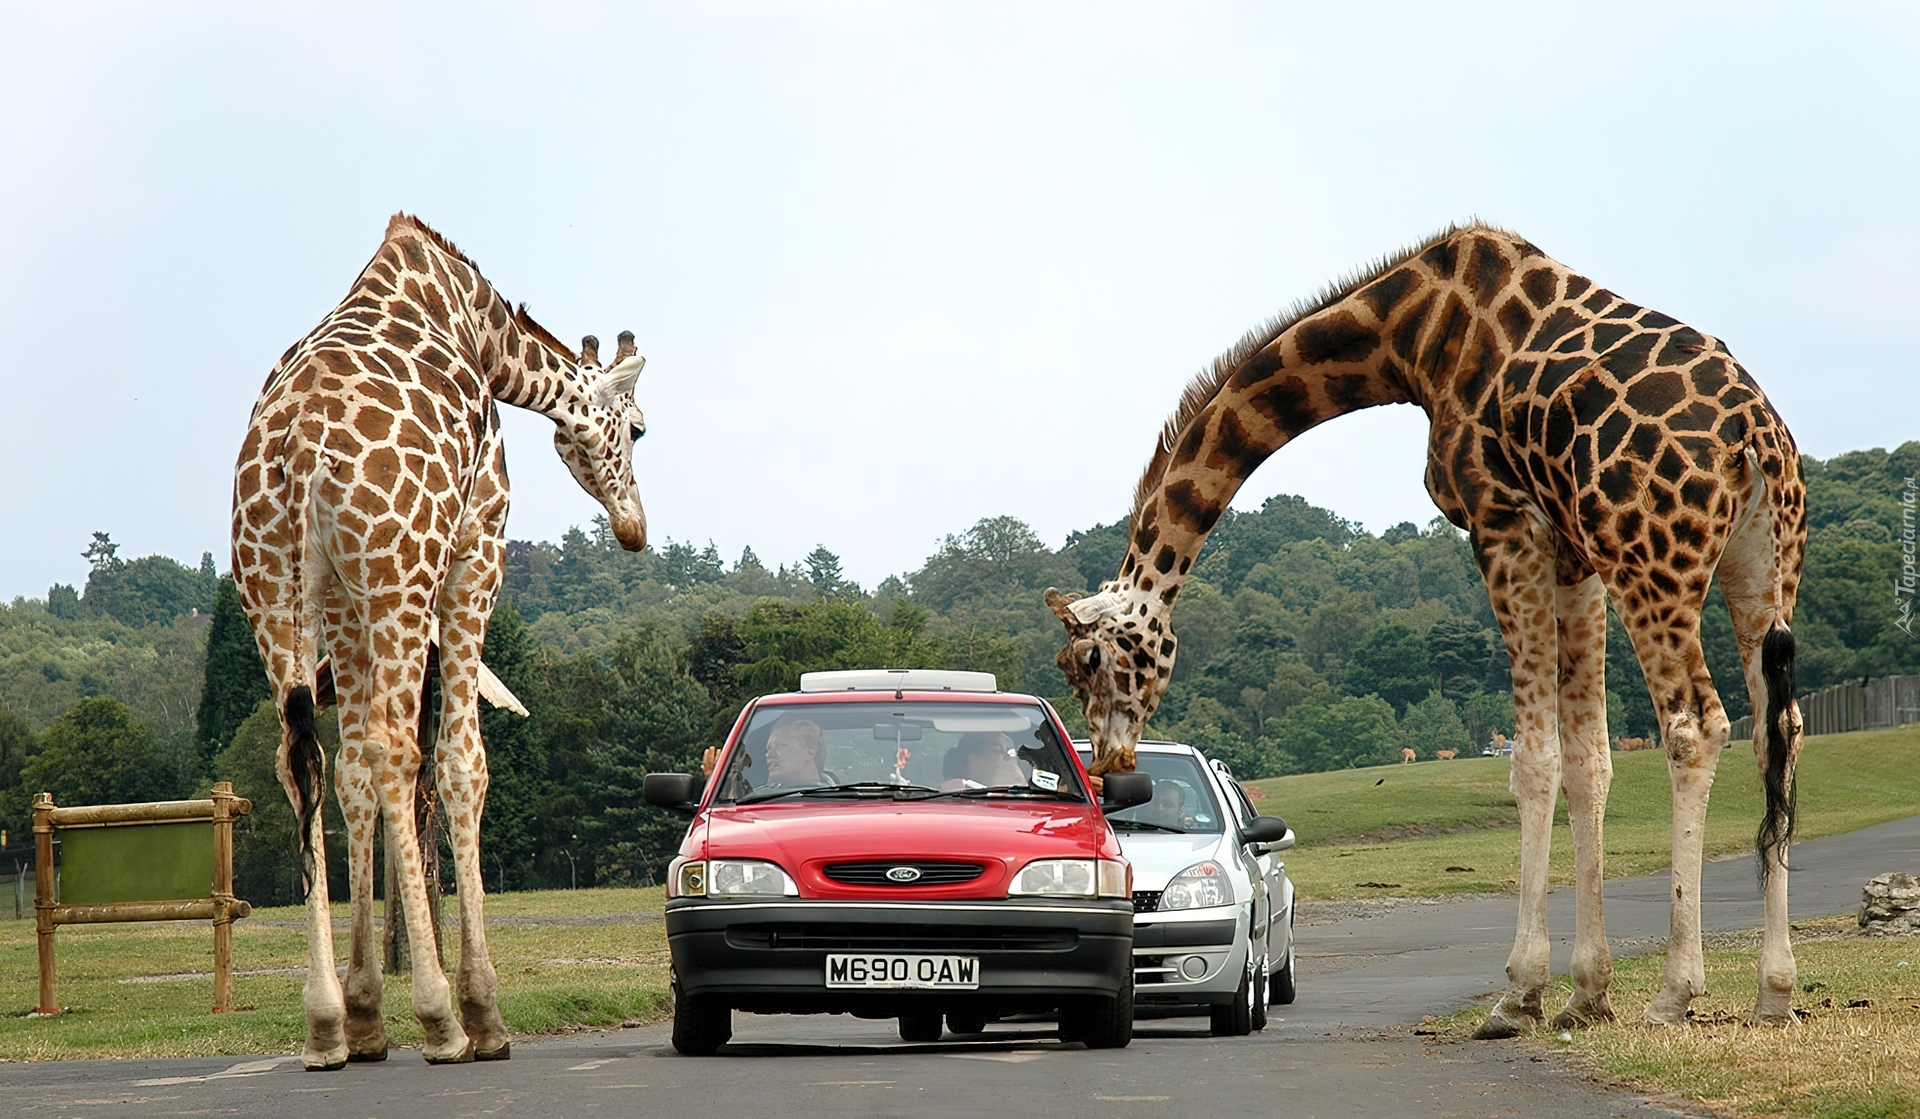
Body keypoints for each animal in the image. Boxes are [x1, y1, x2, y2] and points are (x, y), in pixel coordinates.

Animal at [229, 212, 652, 1067]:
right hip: (402, 569)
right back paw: (443, 1019)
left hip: (274, 586)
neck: (483, 330)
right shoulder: (475, 545)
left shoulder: (347, 600)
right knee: (399, 747)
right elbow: (463, 762)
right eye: (639, 428)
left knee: (303, 757)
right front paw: (483, 1009)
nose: (635, 527)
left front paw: (364, 1012)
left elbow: (351, 775)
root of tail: (296, 448)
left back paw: (324, 1023)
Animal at [1052, 223, 1812, 1036]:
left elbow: (1533, 758)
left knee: (1695, 724)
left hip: (1649, 561)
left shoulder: (1502, 520)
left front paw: (1519, 993)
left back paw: (1676, 993)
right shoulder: (1570, 550)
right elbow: (1589, 760)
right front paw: (1587, 994)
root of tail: (1755, 437)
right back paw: (1775, 989)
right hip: (1762, 564)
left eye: (1088, 661)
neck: (1411, 336)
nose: (1113, 767)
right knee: (1777, 728)